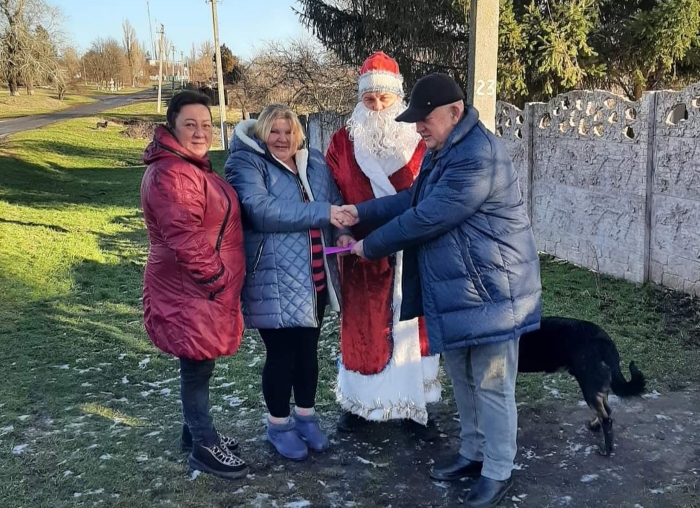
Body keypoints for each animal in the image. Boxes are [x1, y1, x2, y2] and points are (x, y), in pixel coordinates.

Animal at [520, 318, 644, 456]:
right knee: (607, 410)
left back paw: (606, 450)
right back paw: (595, 426)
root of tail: (607, 341)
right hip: (596, 385)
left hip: (589, 386)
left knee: (606, 419)